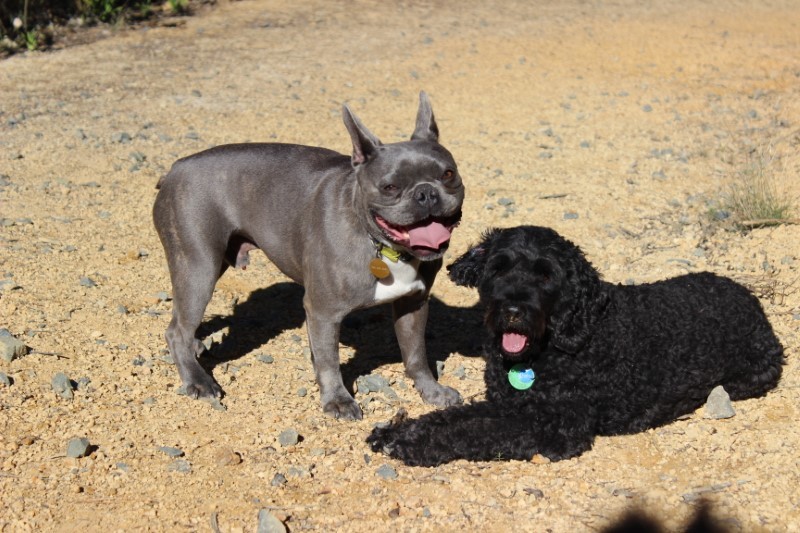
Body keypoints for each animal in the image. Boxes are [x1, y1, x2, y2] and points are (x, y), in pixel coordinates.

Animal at [153, 92, 465, 420]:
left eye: (448, 174)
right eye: (390, 187)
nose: (426, 193)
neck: (381, 245)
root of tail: (174, 168)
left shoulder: (413, 304)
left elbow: (415, 354)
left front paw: (432, 391)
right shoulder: (323, 312)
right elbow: (329, 361)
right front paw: (338, 400)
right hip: (199, 267)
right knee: (177, 330)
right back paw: (198, 380)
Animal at [367, 225, 784, 464]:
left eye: (546, 275)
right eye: (498, 268)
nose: (514, 310)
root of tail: (749, 295)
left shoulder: (556, 428)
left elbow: (473, 432)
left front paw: (413, 446)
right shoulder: (506, 403)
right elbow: (453, 418)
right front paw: (395, 432)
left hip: (753, 374)